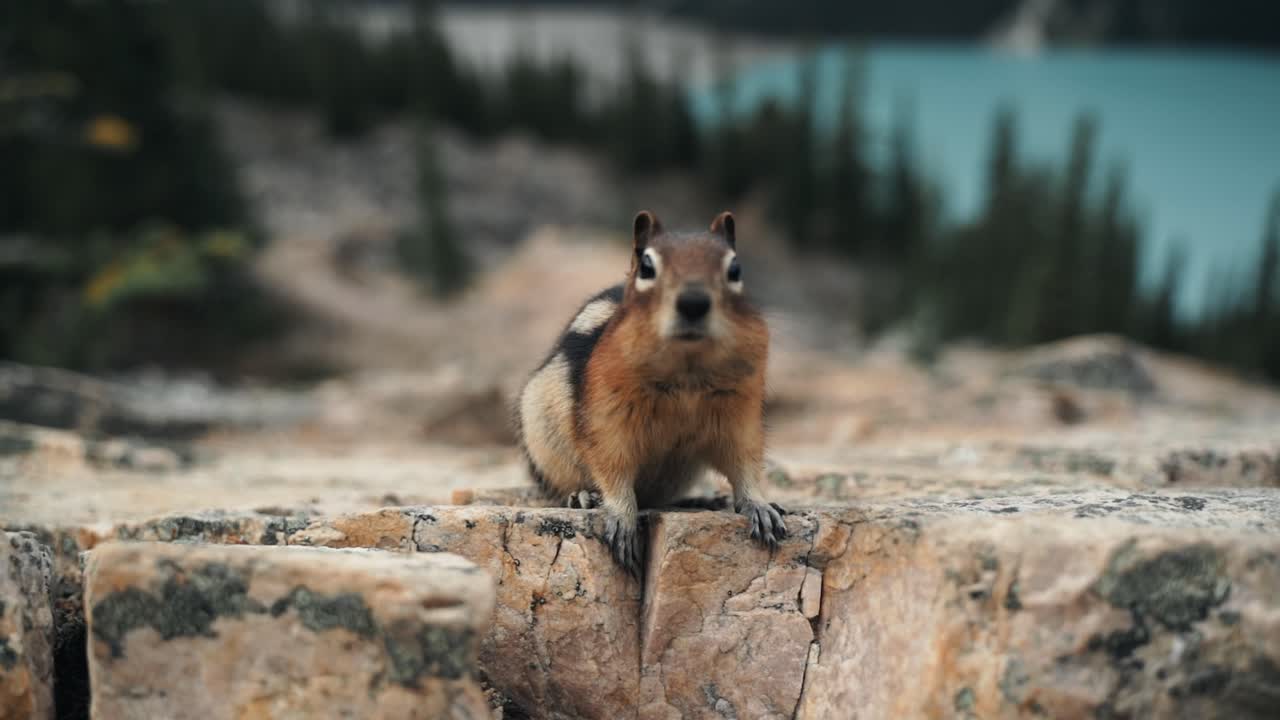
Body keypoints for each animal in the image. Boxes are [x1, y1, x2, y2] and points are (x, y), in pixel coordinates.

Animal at [515, 210, 787, 577]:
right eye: (647, 267)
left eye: (735, 269)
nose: (693, 302)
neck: (687, 372)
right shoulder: (607, 418)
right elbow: (612, 467)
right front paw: (621, 517)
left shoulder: (741, 416)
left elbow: (745, 464)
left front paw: (759, 506)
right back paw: (583, 496)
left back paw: (700, 499)